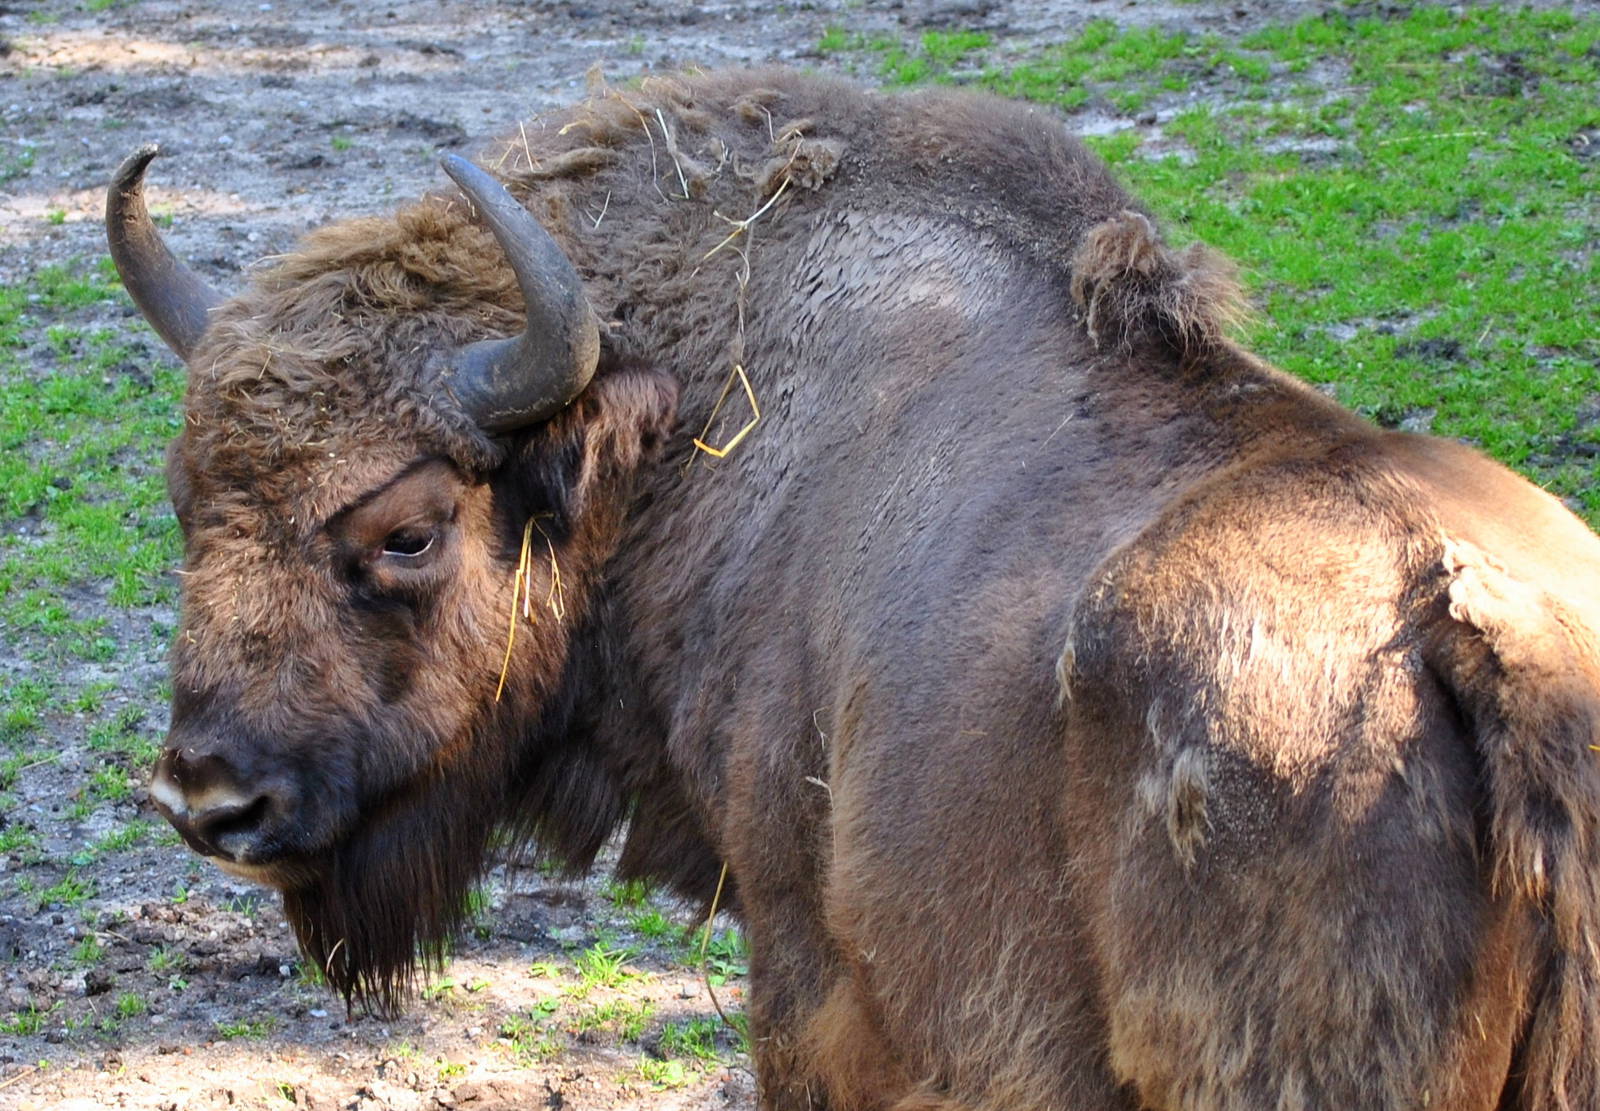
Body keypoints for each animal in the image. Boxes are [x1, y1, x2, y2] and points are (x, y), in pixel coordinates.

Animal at [109, 70, 1600, 1110]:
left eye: (409, 531)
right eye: (185, 497)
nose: (210, 799)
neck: (698, 425)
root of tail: (1483, 641)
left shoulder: (811, 967)